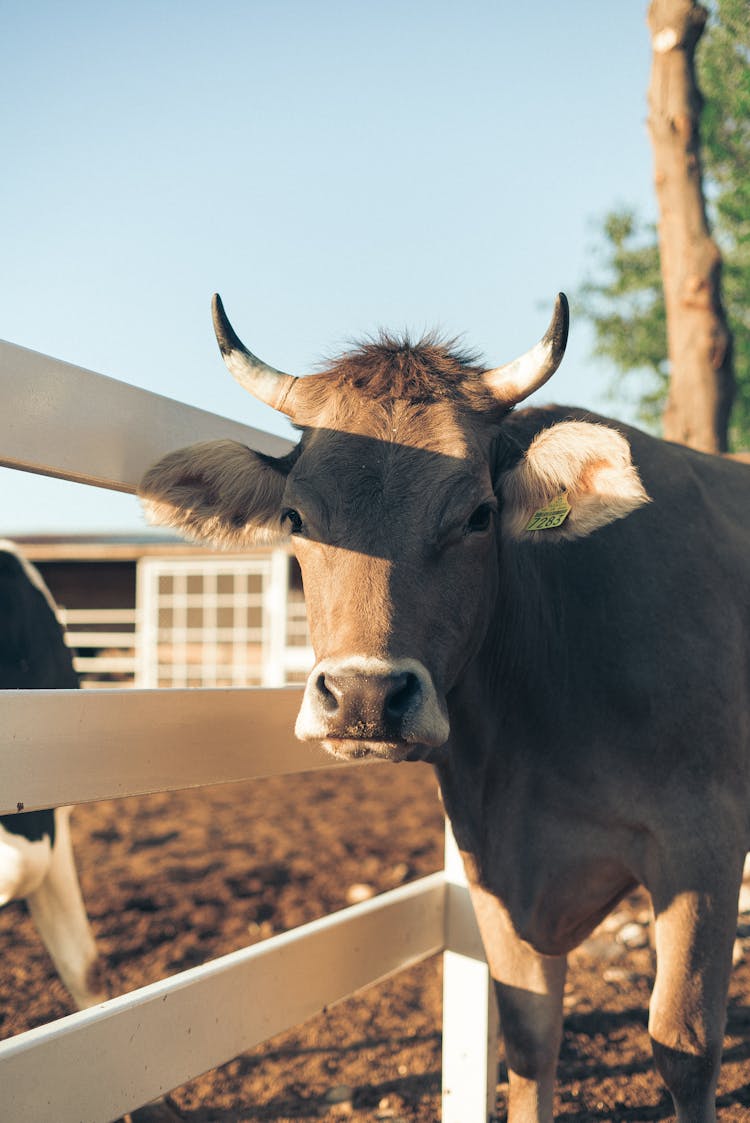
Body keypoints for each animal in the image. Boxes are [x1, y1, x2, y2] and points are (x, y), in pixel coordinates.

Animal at [140, 294, 750, 1118]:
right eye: (296, 518)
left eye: (479, 514)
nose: (364, 694)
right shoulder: (492, 855)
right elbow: (528, 1035)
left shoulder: (703, 842)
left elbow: (684, 1048)